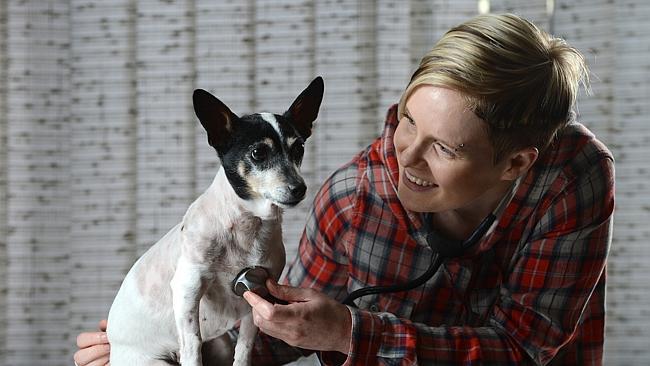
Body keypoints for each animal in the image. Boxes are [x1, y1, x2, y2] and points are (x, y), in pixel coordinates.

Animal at [105, 76, 324, 364]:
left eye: (299, 148)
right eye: (258, 153)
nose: (299, 188)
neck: (247, 226)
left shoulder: (257, 294)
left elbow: (244, 347)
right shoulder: (188, 288)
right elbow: (192, 345)